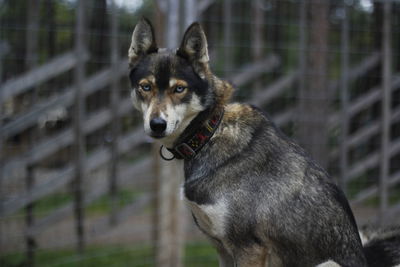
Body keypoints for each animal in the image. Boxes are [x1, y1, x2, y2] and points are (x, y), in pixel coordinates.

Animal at [127, 18, 400, 267]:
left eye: (179, 89)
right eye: (145, 87)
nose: (157, 124)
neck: (208, 135)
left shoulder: (248, 248)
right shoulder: (222, 249)